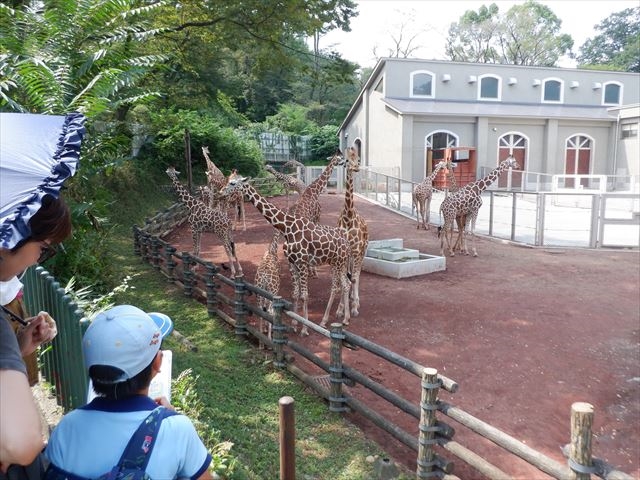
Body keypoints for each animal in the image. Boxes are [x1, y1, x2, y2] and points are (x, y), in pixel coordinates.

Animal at [219, 174, 350, 336]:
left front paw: (304, 329)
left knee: (340, 286)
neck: (288, 227)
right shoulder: (293, 263)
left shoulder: (302, 263)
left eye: (232, 183)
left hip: (338, 263)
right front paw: (294, 324)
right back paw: (344, 318)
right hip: (338, 263)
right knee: (346, 284)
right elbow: (296, 293)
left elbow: (304, 295)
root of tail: (346, 243)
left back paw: (329, 320)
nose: (220, 192)